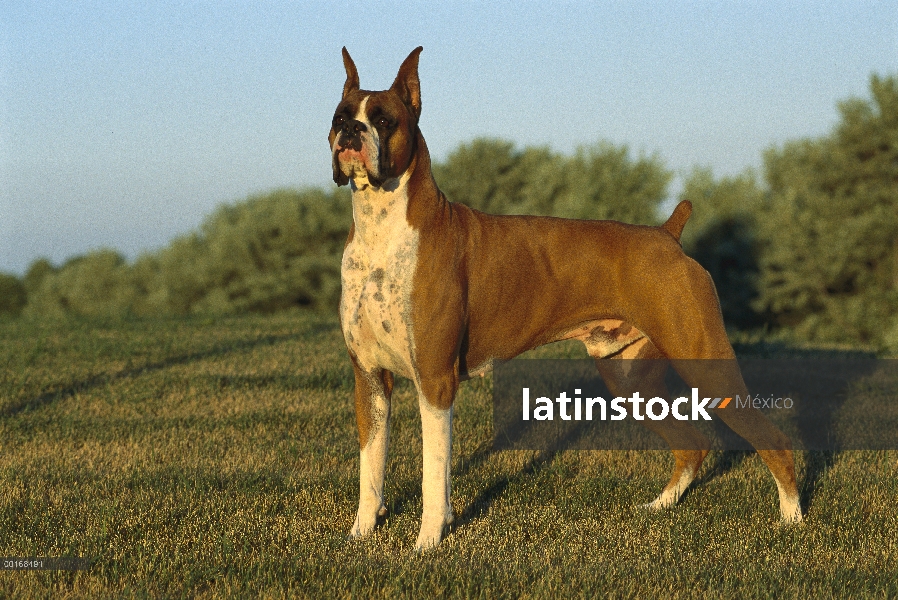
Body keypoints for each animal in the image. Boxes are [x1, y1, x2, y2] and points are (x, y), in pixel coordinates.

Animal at [328, 47, 800, 552]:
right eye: (339, 116)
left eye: (383, 119)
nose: (351, 131)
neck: (381, 227)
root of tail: (667, 235)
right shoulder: (370, 379)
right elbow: (371, 467)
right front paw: (360, 534)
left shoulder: (435, 382)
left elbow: (433, 474)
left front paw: (428, 542)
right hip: (629, 380)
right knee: (692, 443)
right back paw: (660, 507)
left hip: (705, 364)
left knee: (774, 441)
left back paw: (792, 521)